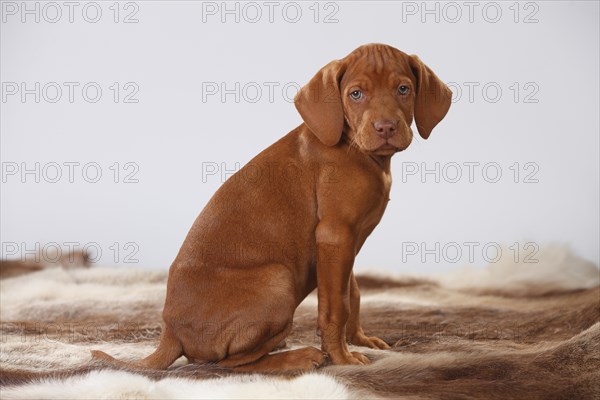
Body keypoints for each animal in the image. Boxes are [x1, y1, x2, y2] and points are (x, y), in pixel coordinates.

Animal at [92, 43, 450, 372]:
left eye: (403, 89)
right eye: (356, 94)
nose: (386, 127)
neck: (358, 150)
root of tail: (171, 333)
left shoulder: (344, 243)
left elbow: (353, 293)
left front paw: (360, 340)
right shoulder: (335, 235)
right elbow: (336, 306)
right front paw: (343, 358)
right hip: (277, 278)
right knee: (226, 363)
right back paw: (297, 356)